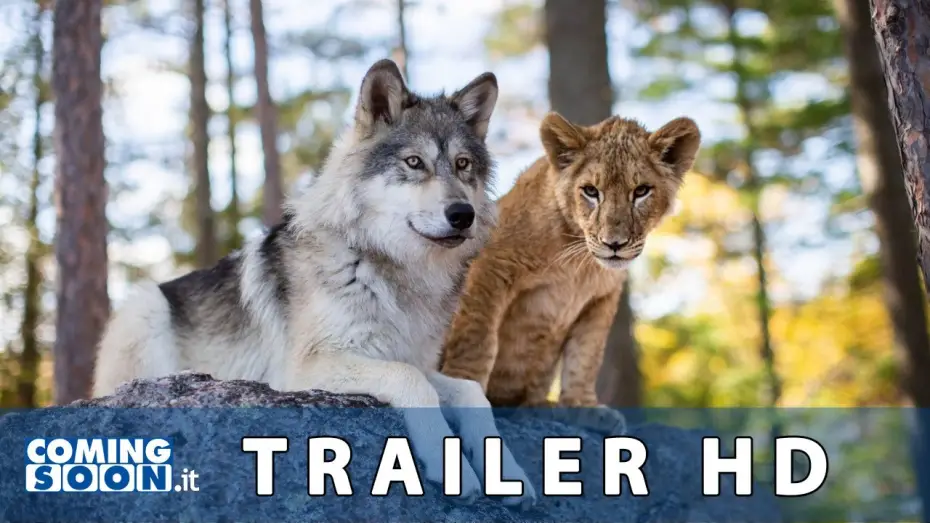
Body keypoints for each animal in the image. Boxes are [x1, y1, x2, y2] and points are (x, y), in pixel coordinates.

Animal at [93, 59, 537, 507]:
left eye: (463, 165)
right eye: (414, 162)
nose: (463, 215)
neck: (390, 269)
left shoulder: (412, 358)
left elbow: (471, 392)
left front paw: (510, 475)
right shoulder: (306, 369)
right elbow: (411, 382)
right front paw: (455, 470)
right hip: (144, 306)